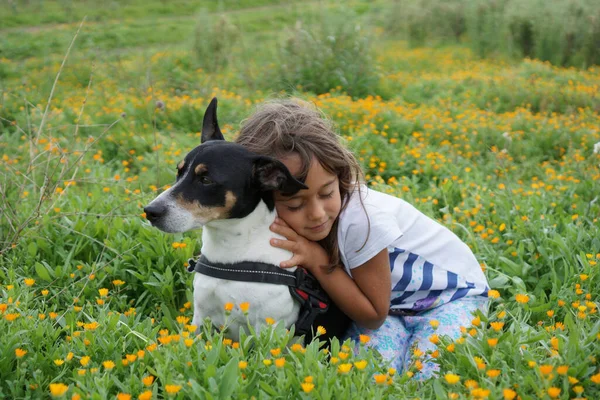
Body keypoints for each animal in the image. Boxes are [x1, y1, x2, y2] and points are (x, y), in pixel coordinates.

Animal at [143, 98, 350, 342]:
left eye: (206, 179)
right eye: (179, 172)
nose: (150, 211)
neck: (231, 254)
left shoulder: (268, 331)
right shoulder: (200, 320)